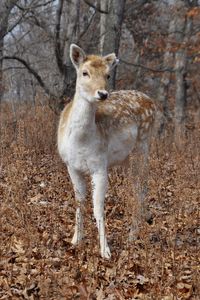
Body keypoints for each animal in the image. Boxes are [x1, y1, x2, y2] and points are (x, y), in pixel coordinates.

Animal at [57, 43, 157, 258]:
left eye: (108, 74)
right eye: (84, 72)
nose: (102, 94)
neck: (80, 142)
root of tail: (152, 101)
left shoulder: (100, 166)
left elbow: (98, 208)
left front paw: (105, 251)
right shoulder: (71, 166)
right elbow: (79, 201)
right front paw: (76, 240)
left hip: (142, 147)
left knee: (140, 188)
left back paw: (132, 235)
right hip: (126, 158)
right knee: (140, 187)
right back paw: (144, 221)